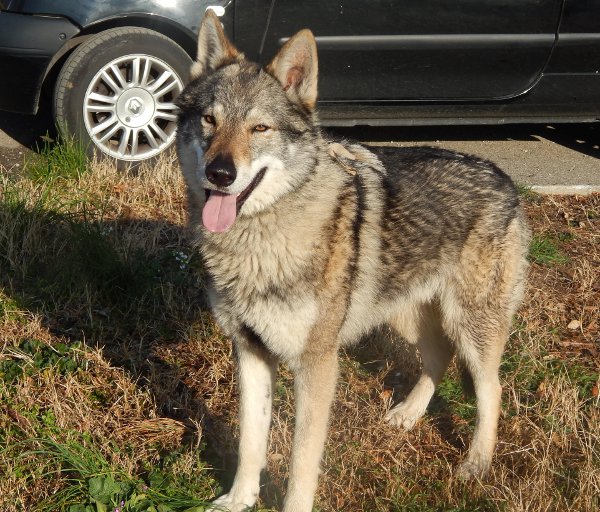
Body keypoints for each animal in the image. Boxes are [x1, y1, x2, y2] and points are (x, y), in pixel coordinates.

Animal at [177, 12, 528, 512]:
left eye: (260, 129)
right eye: (209, 120)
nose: (220, 174)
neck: (262, 240)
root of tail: (507, 181)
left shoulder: (317, 367)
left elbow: (301, 463)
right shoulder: (249, 351)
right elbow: (250, 441)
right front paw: (239, 500)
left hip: (471, 327)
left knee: (491, 388)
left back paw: (477, 463)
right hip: (408, 317)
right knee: (438, 357)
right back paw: (408, 415)